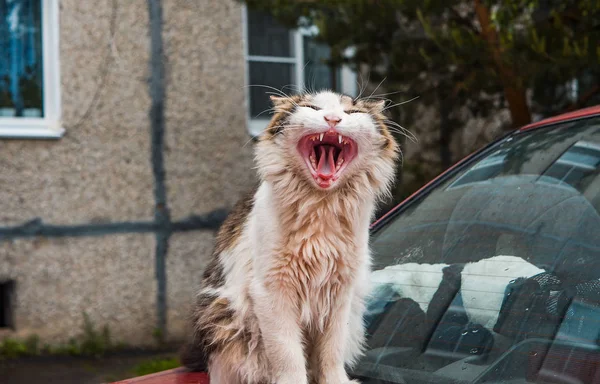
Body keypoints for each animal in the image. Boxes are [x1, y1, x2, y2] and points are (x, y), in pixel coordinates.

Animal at [180, 91, 400, 384]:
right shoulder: (273, 291)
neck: (321, 209)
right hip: (221, 319)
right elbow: (288, 354)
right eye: (313, 108)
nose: (333, 119)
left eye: (352, 112)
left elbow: (331, 353)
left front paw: (336, 381)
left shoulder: (340, 292)